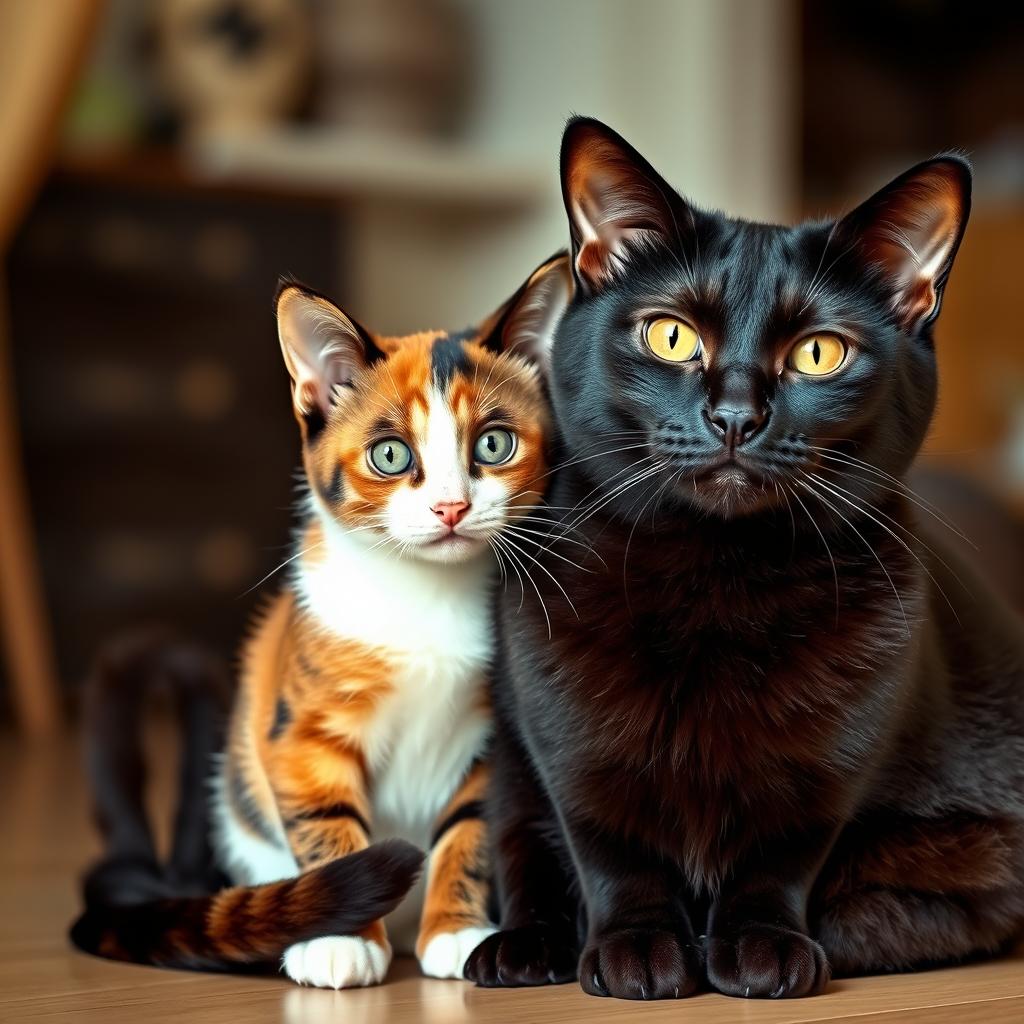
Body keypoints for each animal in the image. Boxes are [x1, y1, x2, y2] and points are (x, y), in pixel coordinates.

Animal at [72, 251, 573, 987]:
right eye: (390, 454)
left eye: (495, 445)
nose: (451, 508)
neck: (424, 595)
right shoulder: (302, 733)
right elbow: (328, 823)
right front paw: (340, 937)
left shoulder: (490, 735)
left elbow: (471, 827)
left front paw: (456, 930)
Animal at [464, 117, 1024, 999]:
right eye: (671, 336)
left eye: (820, 354)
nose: (734, 415)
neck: (714, 582)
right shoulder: (565, 741)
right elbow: (608, 843)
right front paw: (638, 946)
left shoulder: (836, 774)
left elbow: (786, 852)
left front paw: (762, 944)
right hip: (508, 764)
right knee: (520, 842)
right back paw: (521, 946)